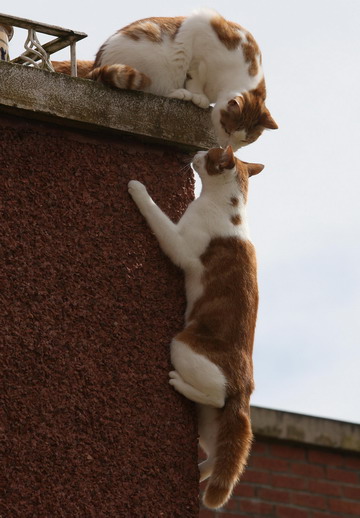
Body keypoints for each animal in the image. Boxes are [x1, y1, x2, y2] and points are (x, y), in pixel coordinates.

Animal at [52, 9, 278, 151]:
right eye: (227, 129)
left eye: (245, 140)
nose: (228, 147)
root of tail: (97, 65)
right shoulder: (199, 31)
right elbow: (195, 74)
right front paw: (198, 95)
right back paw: (182, 93)